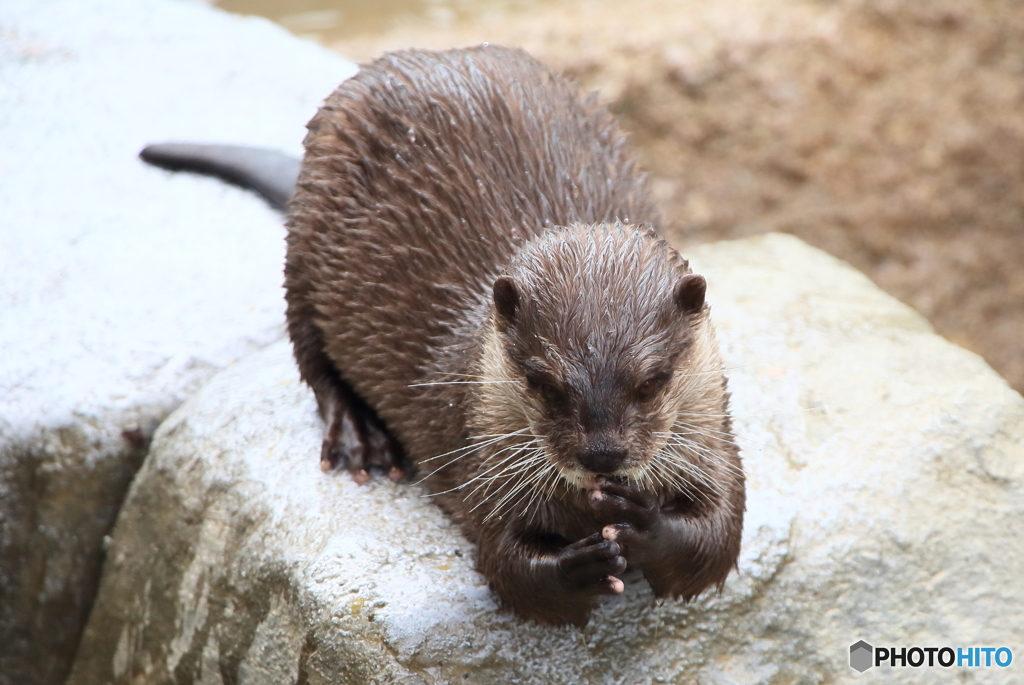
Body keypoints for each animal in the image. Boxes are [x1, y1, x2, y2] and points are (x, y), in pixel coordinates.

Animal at [284, 45, 749, 626]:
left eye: (652, 381)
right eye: (543, 383)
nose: (602, 454)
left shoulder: (715, 439)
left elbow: (719, 535)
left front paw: (646, 524)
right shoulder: (478, 453)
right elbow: (507, 566)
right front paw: (578, 564)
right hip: (307, 226)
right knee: (310, 349)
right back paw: (359, 435)